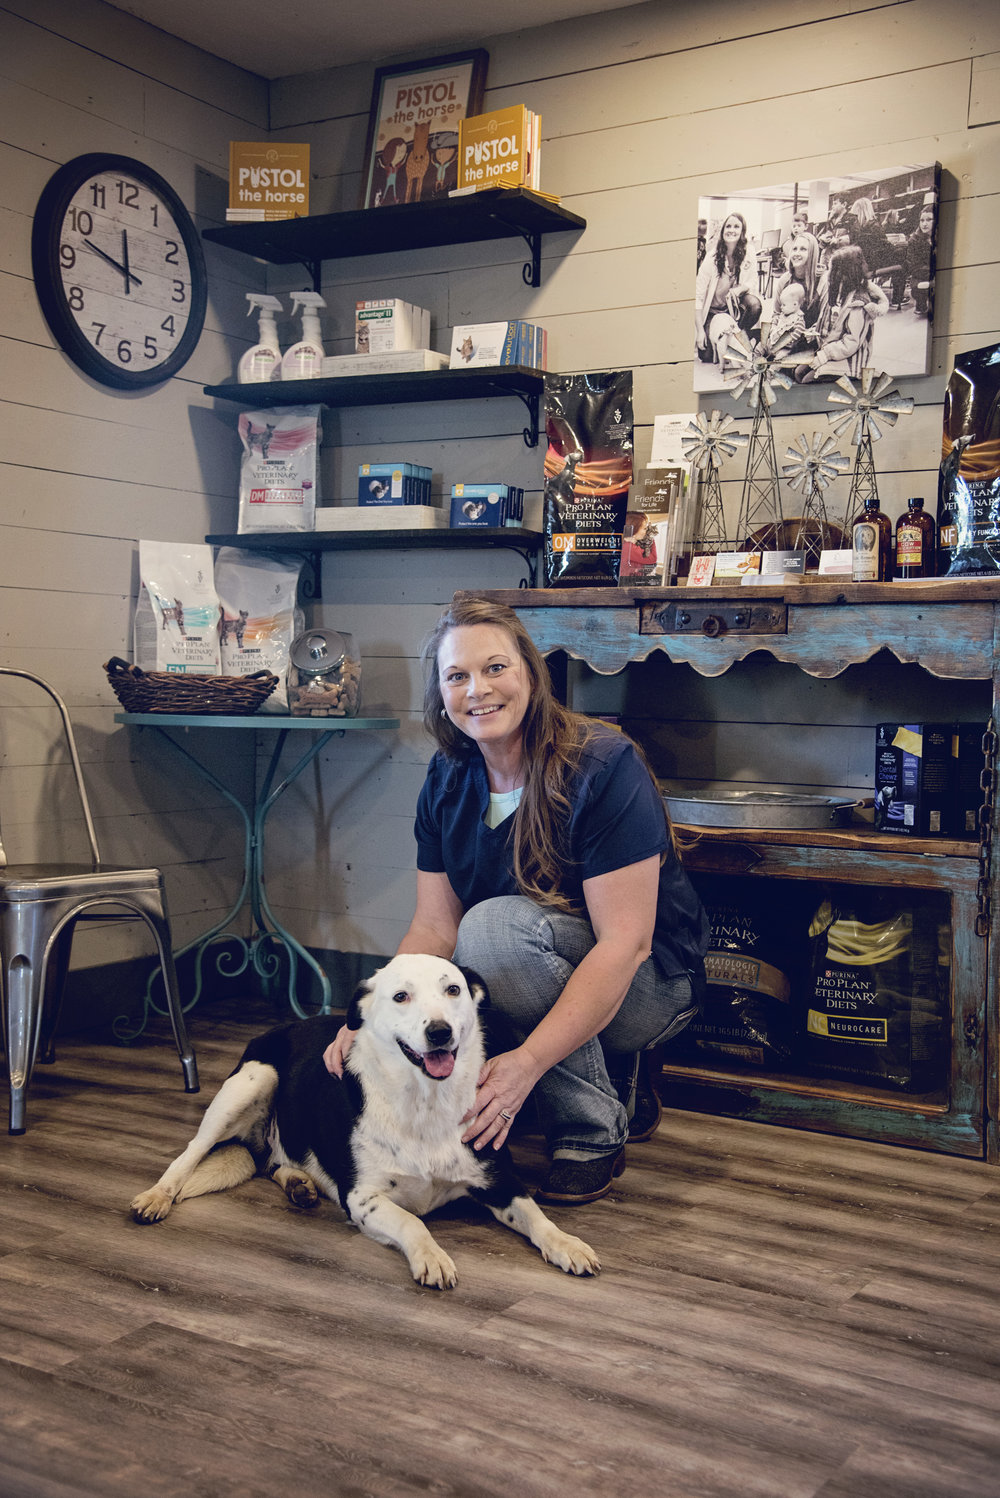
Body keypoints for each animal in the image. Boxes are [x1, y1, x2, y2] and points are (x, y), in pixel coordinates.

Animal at [131, 958, 601, 1288]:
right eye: (400, 997)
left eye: (453, 989)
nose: (440, 1032)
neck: (424, 1103)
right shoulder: (363, 1198)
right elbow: (412, 1221)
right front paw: (431, 1256)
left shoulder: (500, 1180)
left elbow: (537, 1217)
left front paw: (568, 1244)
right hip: (252, 1080)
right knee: (189, 1155)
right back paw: (157, 1196)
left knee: (274, 1164)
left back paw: (298, 1184)